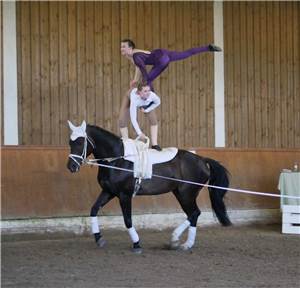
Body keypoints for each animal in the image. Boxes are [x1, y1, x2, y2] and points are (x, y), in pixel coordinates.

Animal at [67, 120, 232, 253]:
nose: (71, 167)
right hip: (179, 193)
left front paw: (136, 244)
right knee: (193, 214)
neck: (117, 159)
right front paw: (98, 238)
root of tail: (203, 160)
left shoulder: (124, 195)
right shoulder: (109, 192)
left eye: (80, 143)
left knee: (194, 213)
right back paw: (180, 242)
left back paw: (181, 242)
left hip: (187, 194)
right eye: (70, 143)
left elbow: (127, 220)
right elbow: (94, 210)